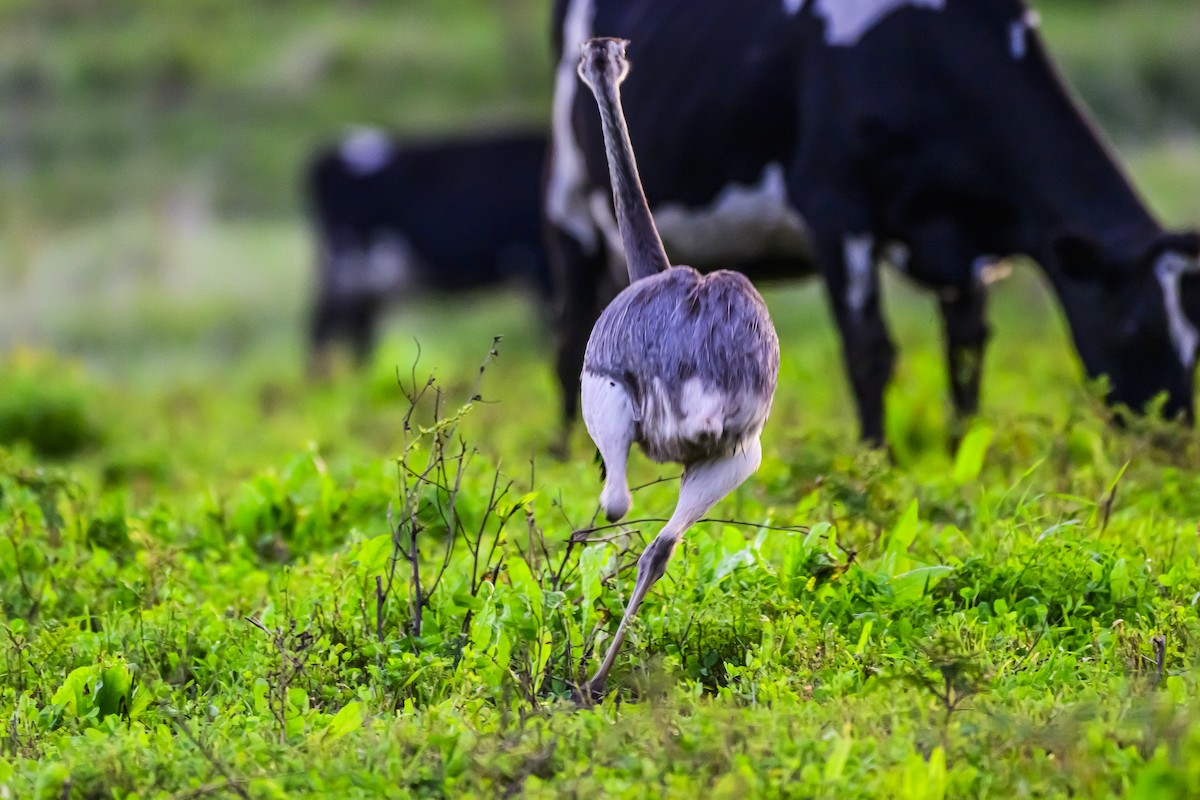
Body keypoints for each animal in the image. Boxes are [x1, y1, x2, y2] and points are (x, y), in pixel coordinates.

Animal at [549, 0, 1200, 443]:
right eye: (1139, 326)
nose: (1178, 438)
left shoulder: (967, 245)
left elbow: (965, 354)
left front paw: (962, 460)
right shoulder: (835, 208)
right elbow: (869, 352)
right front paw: (877, 461)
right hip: (572, 206)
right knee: (571, 344)